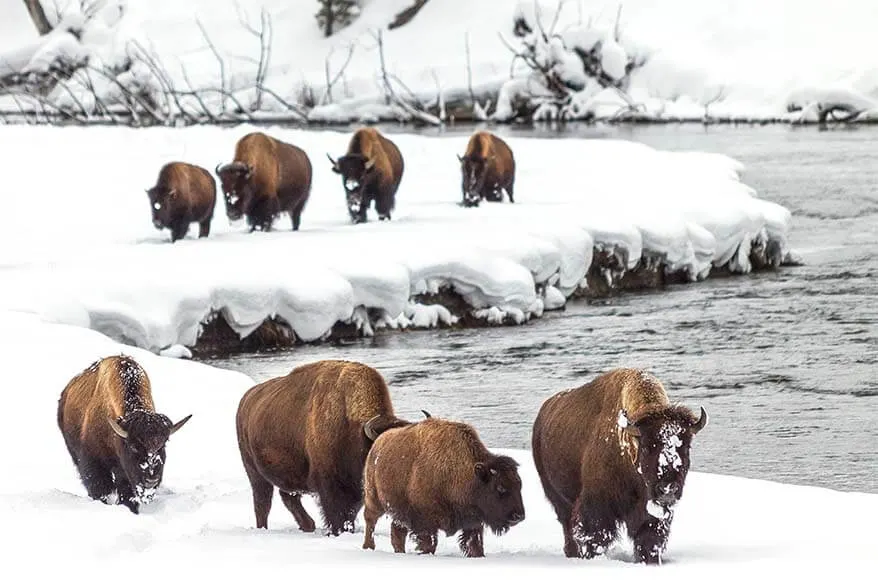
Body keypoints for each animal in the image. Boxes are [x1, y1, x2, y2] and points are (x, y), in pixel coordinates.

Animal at [59, 354, 195, 512]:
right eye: (134, 447)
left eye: (163, 445)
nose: (151, 479)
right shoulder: (93, 462)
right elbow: (100, 487)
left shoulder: (125, 472)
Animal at [235, 356, 418, 532]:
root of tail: (245, 400)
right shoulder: (329, 485)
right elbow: (335, 514)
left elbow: (349, 514)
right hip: (254, 472)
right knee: (262, 503)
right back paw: (264, 528)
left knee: (288, 497)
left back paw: (308, 526)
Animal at [362, 416, 524, 556]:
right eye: (500, 488)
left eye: (519, 485)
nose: (519, 516)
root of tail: (378, 442)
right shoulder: (425, 522)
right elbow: (429, 544)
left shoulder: (473, 523)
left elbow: (475, 545)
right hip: (374, 499)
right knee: (370, 520)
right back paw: (368, 547)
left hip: (398, 511)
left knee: (397, 531)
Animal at [528, 368, 708, 564]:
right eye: (646, 447)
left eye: (686, 447)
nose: (667, 489)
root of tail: (543, 412)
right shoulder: (597, 505)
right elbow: (594, 535)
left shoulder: (650, 513)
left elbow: (649, 538)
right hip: (557, 496)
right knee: (567, 524)